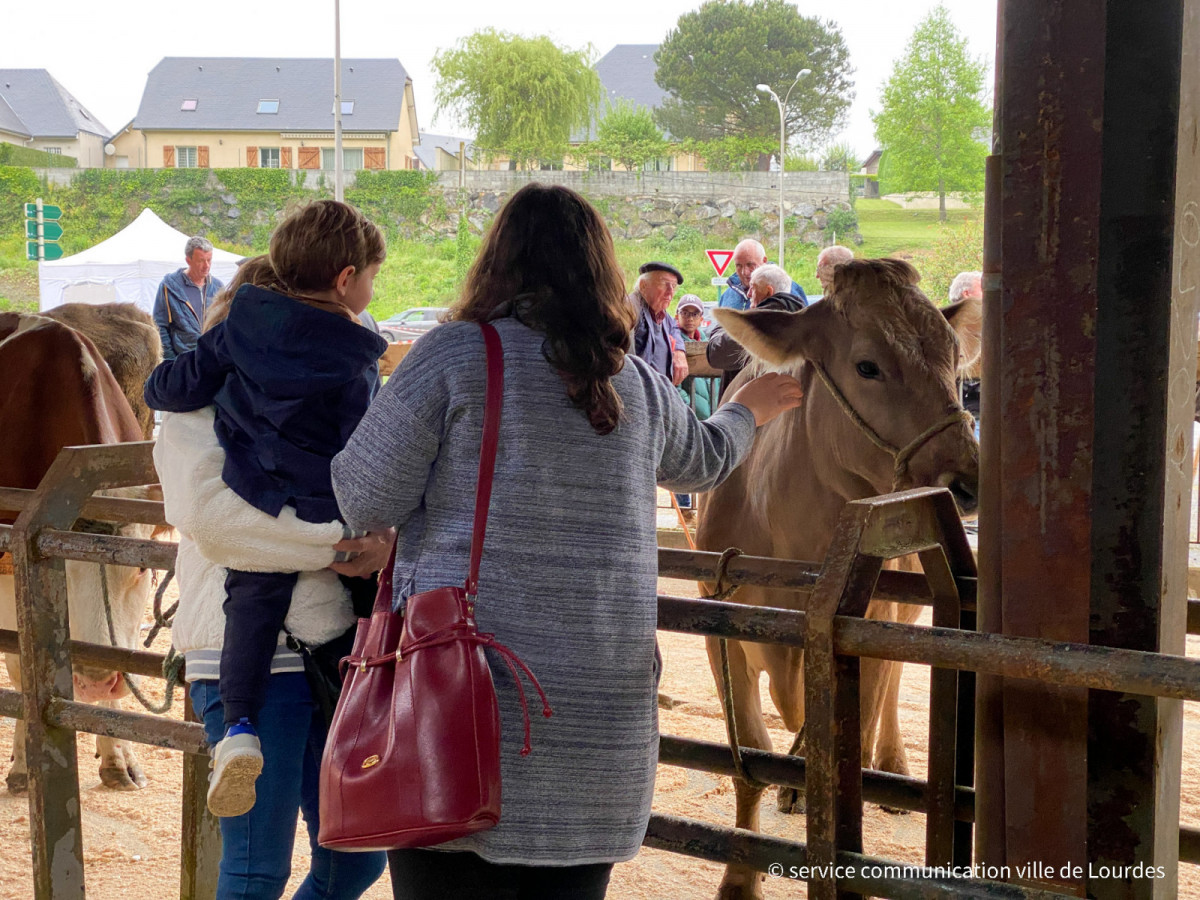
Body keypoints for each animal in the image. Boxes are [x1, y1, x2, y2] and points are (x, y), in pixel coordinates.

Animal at [0, 314, 157, 792]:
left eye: (141, 569)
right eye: (59, 573)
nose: (93, 682)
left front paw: (118, 759)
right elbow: (20, 665)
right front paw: (24, 764)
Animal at [691, 256, 979, 897]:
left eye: (955, 360)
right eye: (867, 365)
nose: (969, 478)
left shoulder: (870, 626)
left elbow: (853, 739)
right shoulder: (720, 628)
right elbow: (752, 756)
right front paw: (739, 881)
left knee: (893, 685)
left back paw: (892, 763)